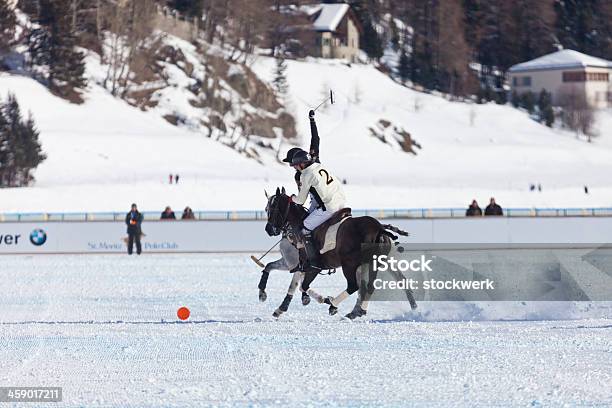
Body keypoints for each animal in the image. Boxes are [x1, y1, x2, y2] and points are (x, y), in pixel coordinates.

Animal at [262, 187, 416, 318]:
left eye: (271, 208)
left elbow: (301, 285)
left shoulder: (311, 266)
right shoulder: (301, 265)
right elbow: (299, 284)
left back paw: (336, 305)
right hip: (376, 262)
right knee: (381, 283)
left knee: (355, 286)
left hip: (350, 264)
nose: (268, 229)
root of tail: (379, 228)